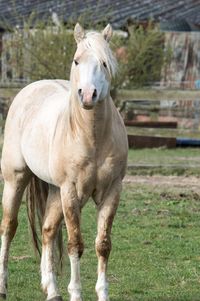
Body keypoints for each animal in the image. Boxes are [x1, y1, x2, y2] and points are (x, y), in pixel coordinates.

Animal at [0, 24, 128, 300]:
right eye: (76, 60)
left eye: (104, 63)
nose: (88, 95)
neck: (91, 137)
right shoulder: (71, 192)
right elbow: (75, 244)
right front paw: (76, 293)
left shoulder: (112, 191)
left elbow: (103, 245)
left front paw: (102, 293)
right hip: (16, 179)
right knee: (8, 227)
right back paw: (3, 287)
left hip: (54, 191)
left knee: (48, 230)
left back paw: (52, 289)